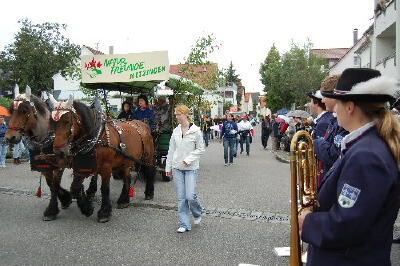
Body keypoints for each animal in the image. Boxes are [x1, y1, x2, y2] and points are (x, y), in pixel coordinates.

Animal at [4, 85, 98, 220]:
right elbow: (51, 184)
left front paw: (55, 208)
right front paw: (64, 200)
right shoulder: (45, 165)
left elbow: (55, 184)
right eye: (11, 110)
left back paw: (90, 192)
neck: (46, 136)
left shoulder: (59, 165)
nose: (10, 137)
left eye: (25, 111)